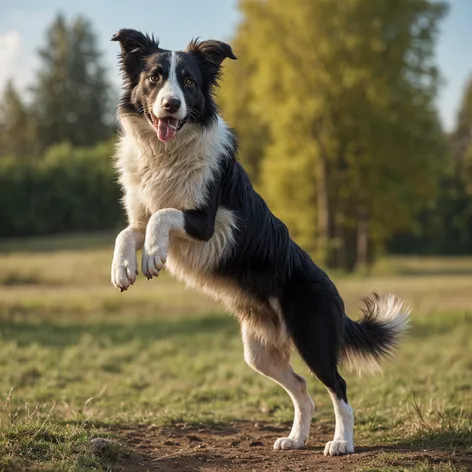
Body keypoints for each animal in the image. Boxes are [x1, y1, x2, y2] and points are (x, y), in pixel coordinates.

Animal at [109, 29, 410, 458]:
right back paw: (296, 439)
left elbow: (163, 217)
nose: (171, 104)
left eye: (189, 82)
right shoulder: (140, 216)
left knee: (338, 388)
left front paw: (152, 256)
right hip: (260, 353)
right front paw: (123, 268)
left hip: (313, 337)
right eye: (154, 78)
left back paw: (341, 442)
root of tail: (334, 292)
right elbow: (130, 230)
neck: (166, 151)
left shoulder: (205, 221)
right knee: (302, 388)